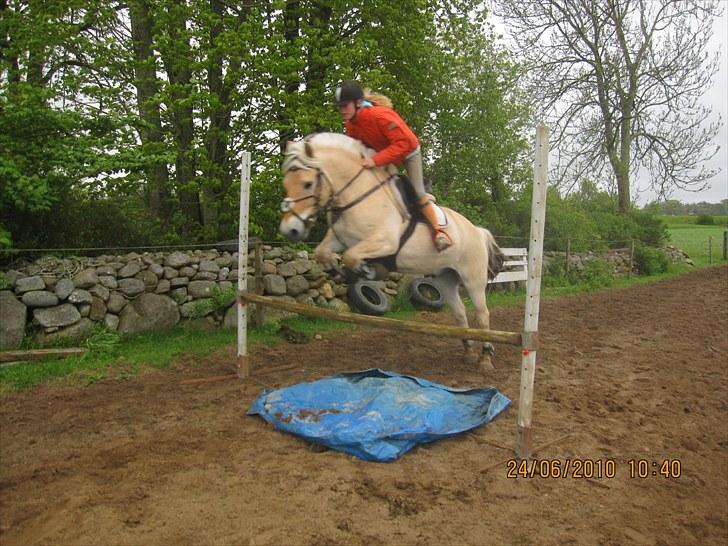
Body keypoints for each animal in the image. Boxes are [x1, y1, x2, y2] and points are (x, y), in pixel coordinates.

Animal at [276, 132, 504, 370]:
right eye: (286, 184)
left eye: (308, 184)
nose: (290, 229)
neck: (357, 194)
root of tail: (477, 230)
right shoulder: (339, 238)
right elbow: (323, 252)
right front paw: (336, 271)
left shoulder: (385, 241)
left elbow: (351, 256)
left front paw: (367, 271)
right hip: (446, 277)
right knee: (460, 312)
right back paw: (468, 352)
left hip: (473, 278)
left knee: (482, 314)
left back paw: (485, 359)